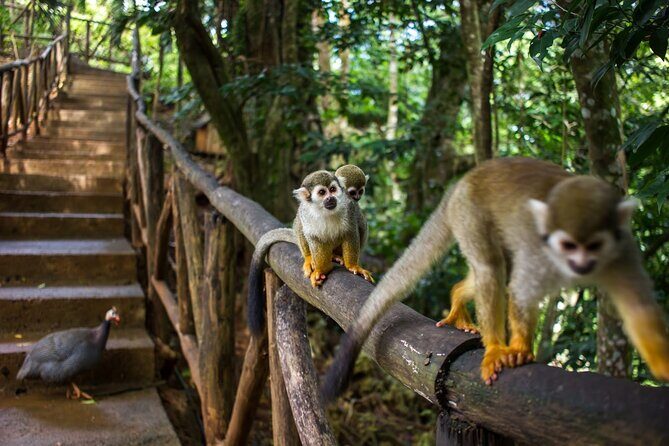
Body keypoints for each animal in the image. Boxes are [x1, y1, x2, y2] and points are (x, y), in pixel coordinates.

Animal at [247, 170, 374, 335]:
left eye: (332, 189)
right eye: (322, 193)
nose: (331, 198)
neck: (325, 211)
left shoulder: (349, 207)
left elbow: (351, 232)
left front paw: (353, 266)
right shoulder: (307, 213)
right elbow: (314, 237)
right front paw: (321, 269)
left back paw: (338, 256)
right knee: (301, 226)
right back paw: (311, 259)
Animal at [321, 157, 669, 401]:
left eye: (594, 245)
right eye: (568, 245)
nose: (580, 263)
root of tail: (463, 182)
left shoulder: (623, 248)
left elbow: (638, 307)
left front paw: (664, 365)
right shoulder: (538, 247)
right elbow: (520, 292)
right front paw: (517, 349)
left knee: (497, 267)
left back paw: (459, 295)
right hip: (469, 213)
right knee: (492, 267)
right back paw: (492, 345)